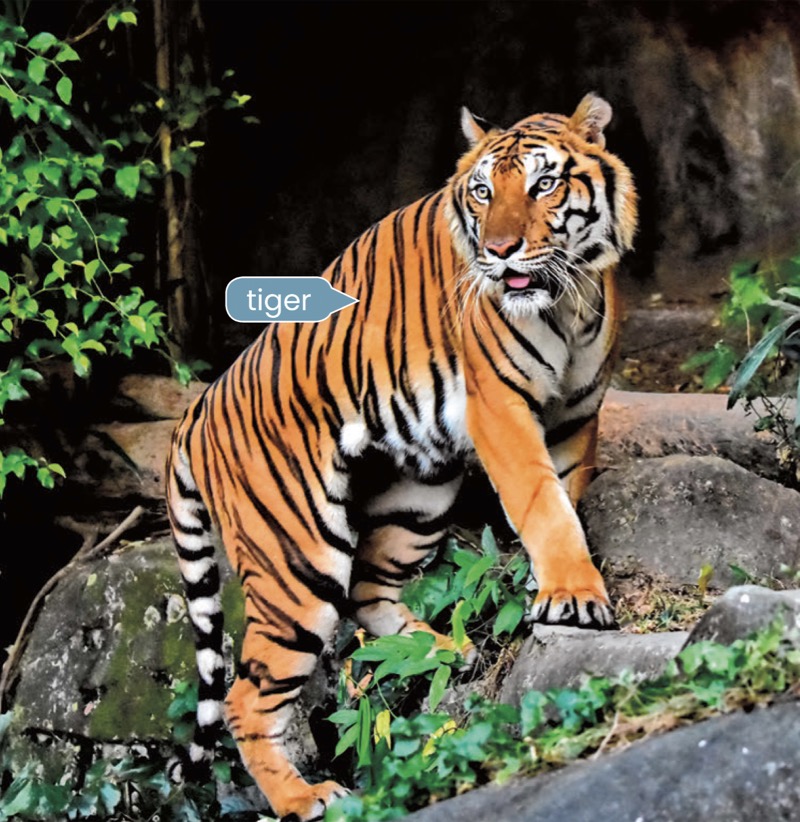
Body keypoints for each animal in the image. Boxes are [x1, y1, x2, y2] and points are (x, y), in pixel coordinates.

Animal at [166, 93, 637, 821]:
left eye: (544, 184)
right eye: (483, 192)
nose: (499, 252)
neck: (568, 299)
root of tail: (195, 412)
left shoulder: (576, 414)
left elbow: (565, 495)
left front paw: (550, 587)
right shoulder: (500, 408)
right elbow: (542, 503)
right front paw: (575, 597)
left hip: (419, 497)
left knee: (369, 589)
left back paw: (440, 649)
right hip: (300, 559)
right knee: (247, 696)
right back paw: (305, 798)